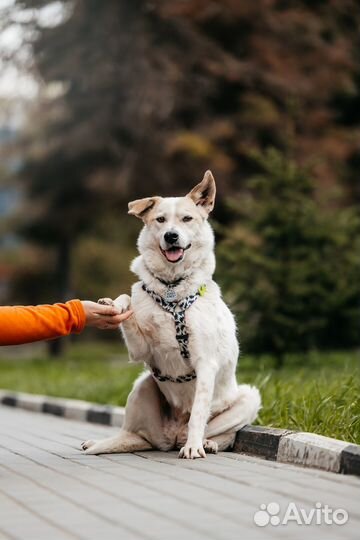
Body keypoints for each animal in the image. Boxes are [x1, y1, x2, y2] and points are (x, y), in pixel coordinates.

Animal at [82, 171, 260, 458]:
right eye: (160, 220)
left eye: (187, 219)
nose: (171, 236)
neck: (172, 290)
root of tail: (171, 436)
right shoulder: (140, 351)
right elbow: (128, 303)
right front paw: (115, 305)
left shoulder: (205, 364)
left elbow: (198, 413)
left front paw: (194, 448)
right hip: (143, 384)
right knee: (132, 434)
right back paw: (102, 443)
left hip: (249, 398)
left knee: (219, 432)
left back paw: (204, 443)